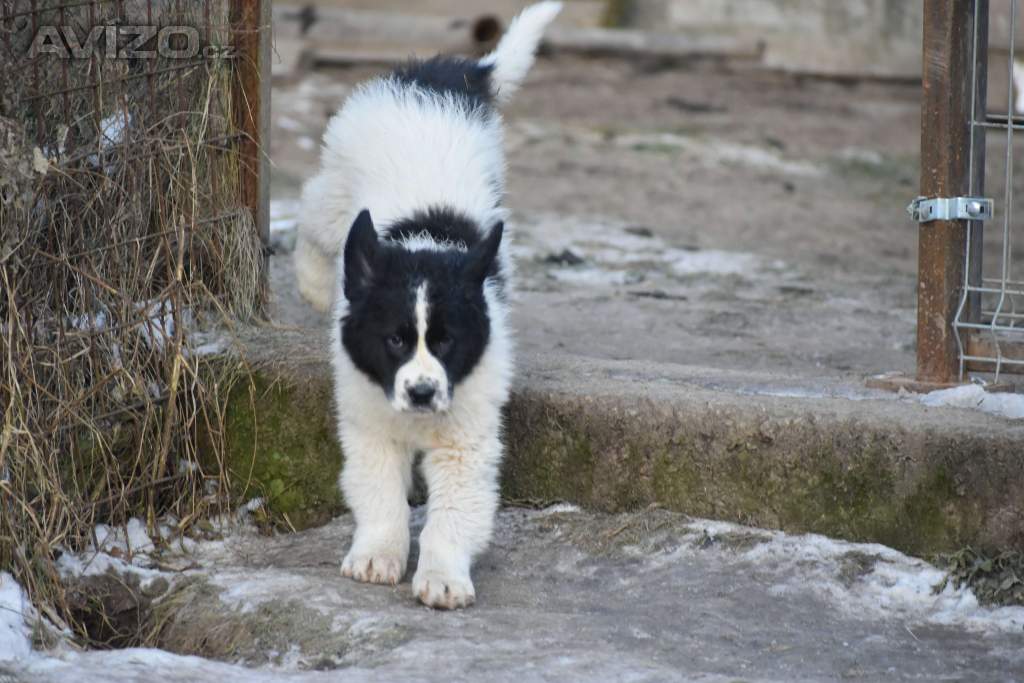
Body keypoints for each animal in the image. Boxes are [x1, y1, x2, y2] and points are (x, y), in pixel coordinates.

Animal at [296, 0, 565, 610]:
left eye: (445, 342)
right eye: (395, 340)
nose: (420, 392)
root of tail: (443, 75)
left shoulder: (467, 438)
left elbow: (455, 513)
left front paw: (442, 576)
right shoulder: (369, 423)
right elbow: (379, 495)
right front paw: (377, 555)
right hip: (337, 186)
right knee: (312, 217)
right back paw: (314, 283)